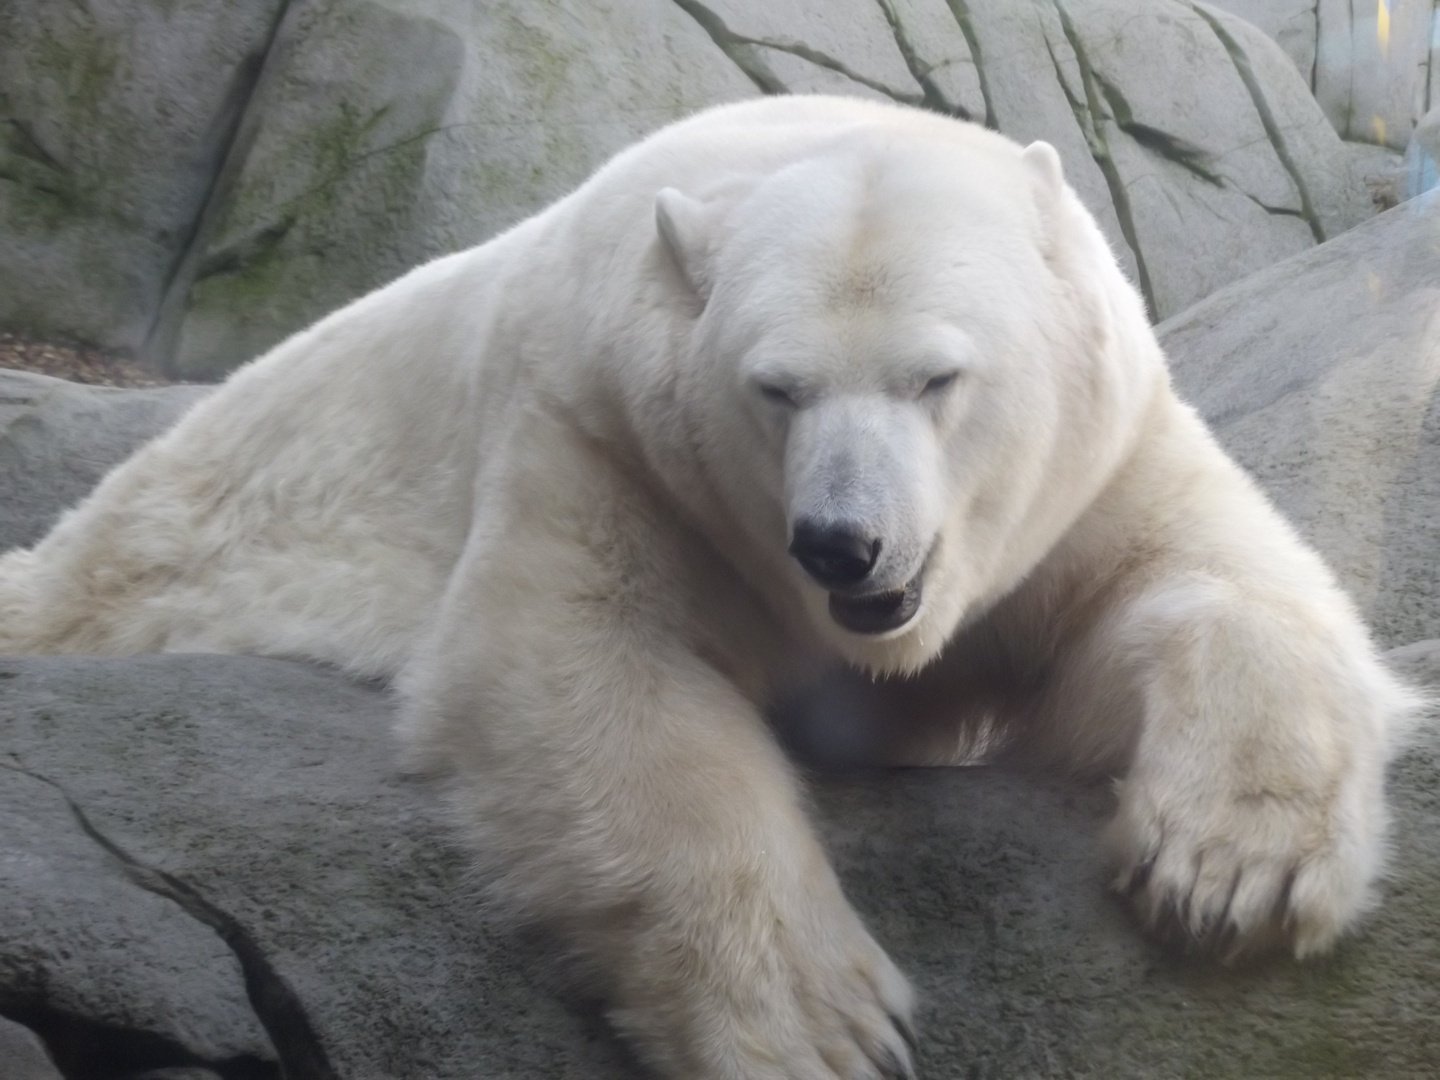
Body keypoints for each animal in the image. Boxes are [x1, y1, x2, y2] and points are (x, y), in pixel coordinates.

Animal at [0, 97, 1416, 1077]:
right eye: (774, 387)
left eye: (937, 377)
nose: (841, 543)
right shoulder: (606, 433)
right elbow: (590, 673)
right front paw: (822, 1025)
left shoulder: (1090, 462)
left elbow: (1196, 585)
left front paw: (1233, 871)